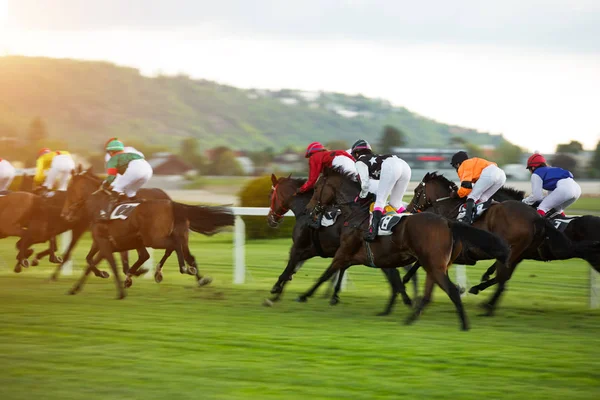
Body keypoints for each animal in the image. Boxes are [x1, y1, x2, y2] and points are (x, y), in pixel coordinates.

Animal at [58, 168, 232, 296]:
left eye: (70, 189)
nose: (65, 213)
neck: (99, 205)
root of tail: (172, 203)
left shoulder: (106, 242)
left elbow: (98, 262)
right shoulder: (107, 243)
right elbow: (90, 261)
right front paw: (93, 279)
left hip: (153, 239)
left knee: (173, 247)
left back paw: (180, 269)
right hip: (178, 236)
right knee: (188, 256)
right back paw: (199, 278)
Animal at [298, 167, 508, 330]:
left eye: (316, 188)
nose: (308, 209)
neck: (356, 214)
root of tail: (447, 223)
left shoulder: (343, 253)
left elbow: (326, 273)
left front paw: (305, 295)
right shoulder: (363, 258)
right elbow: (393, 281)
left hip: (434, 265)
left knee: (453, 290)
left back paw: (464, 323)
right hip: (435, 266)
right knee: (430, 293)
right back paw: (413, 318)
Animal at [404, 171, 600, 312]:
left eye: (417, 191)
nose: (409, 210)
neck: (450, 211)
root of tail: (535, 218)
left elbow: (422, 263)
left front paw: (408, 282)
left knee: (502, 277)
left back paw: (484, 300)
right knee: (503, 278)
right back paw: (486, 301)